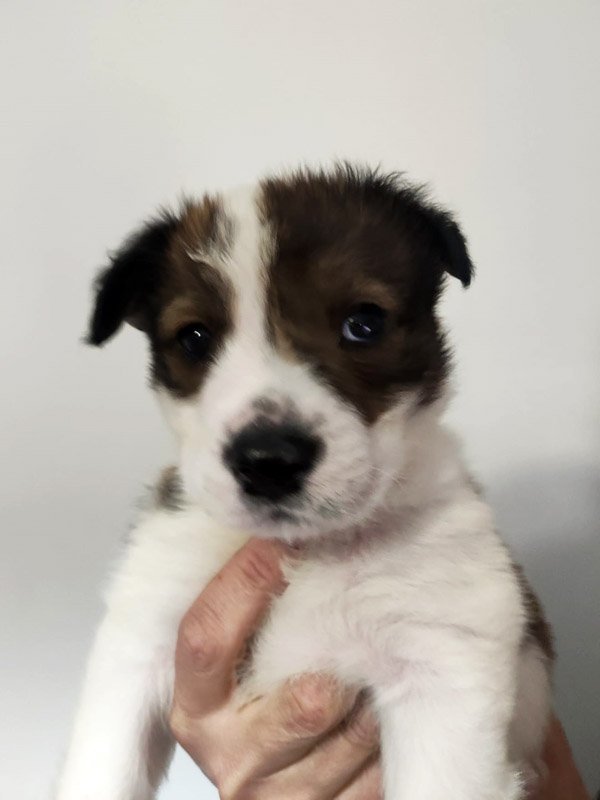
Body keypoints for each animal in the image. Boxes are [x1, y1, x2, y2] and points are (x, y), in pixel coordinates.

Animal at [56, 165, 553, 799]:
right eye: (194, 338)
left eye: (364, 323)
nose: (268, 459)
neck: (309, 550)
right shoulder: (141, 638)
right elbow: (100, 767)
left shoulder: (442, 665)